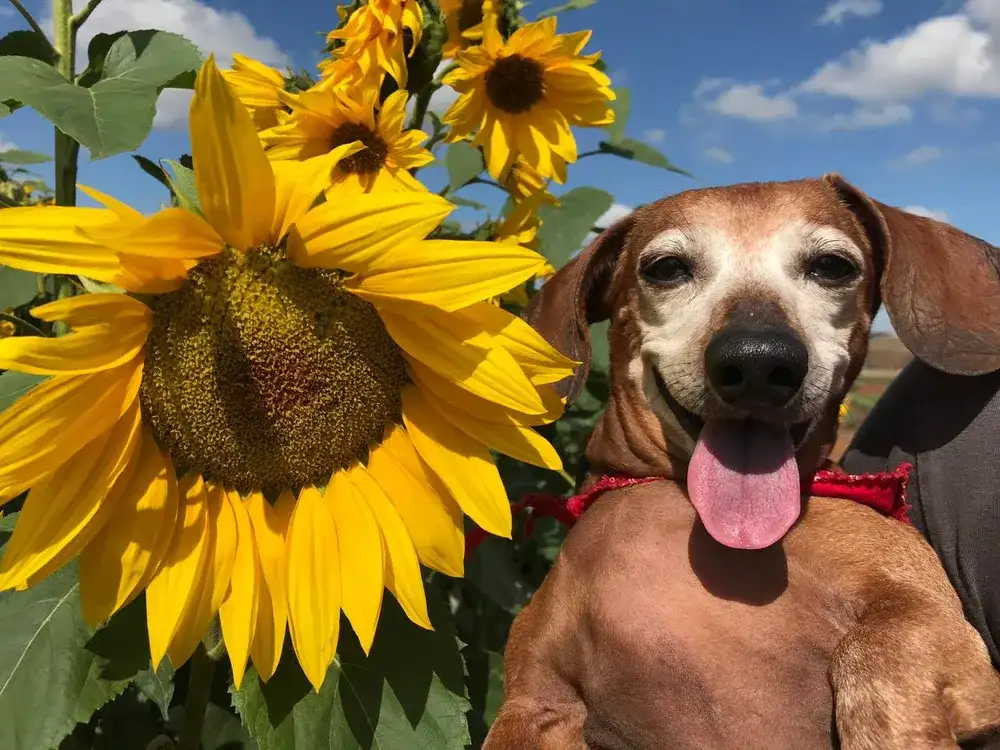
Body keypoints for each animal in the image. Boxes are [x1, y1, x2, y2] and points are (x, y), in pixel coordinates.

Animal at [482, 173, 1000, 748]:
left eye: (833, 266)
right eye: (666, 268)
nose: (758, 363)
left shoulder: (932, 616)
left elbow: (877, 649)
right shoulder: (535, 697)